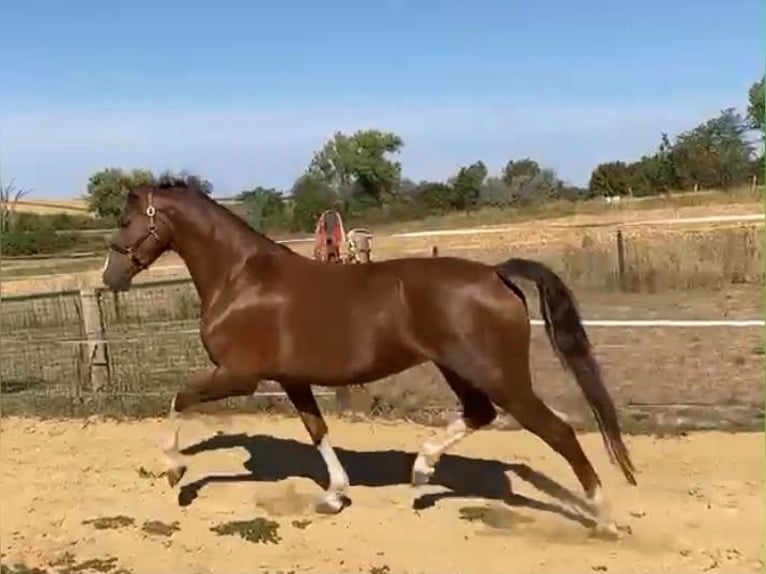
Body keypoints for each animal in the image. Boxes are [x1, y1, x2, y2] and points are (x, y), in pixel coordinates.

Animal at [102, 179, 636, 535]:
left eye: (127, 221)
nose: (111, 277)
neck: (240, 278)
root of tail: (495, 273)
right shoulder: (292, 379)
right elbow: (317, 430)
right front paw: (334, 496)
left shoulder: (239, 375)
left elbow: (179, 399)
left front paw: (175, 470)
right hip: (458, 369)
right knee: (479, 415)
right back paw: (421, 471)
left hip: (500, 377)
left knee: (558, 432)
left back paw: (604, 518)